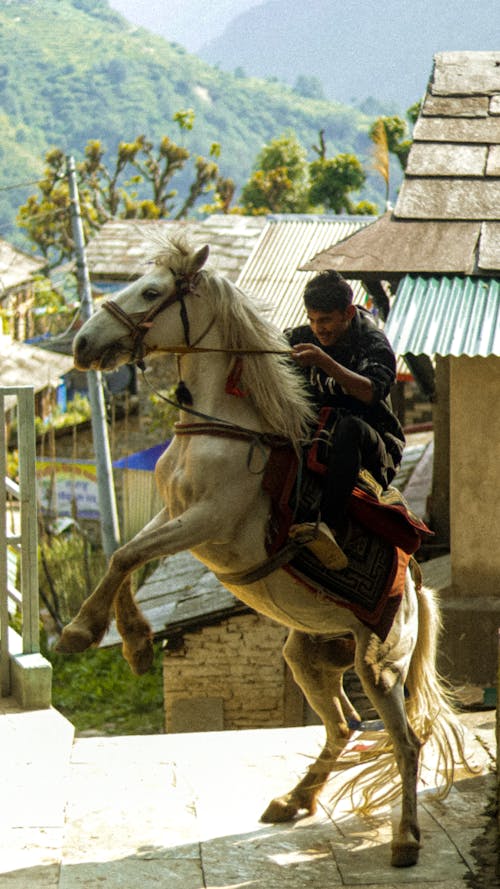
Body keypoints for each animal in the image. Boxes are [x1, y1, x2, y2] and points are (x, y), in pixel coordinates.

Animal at [59, 234, 472, 868]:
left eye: (151, 293)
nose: (82, 346)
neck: (220, 427)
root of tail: (417, 593)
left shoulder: (207, 521)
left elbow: (125, 558)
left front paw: (84, 633)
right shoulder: (172, 515)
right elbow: (125, 555)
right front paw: (132, 642)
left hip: (380, 666)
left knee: (406, 741)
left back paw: (404, 838)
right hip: (310, 657)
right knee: (343, 726)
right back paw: (294, 800)